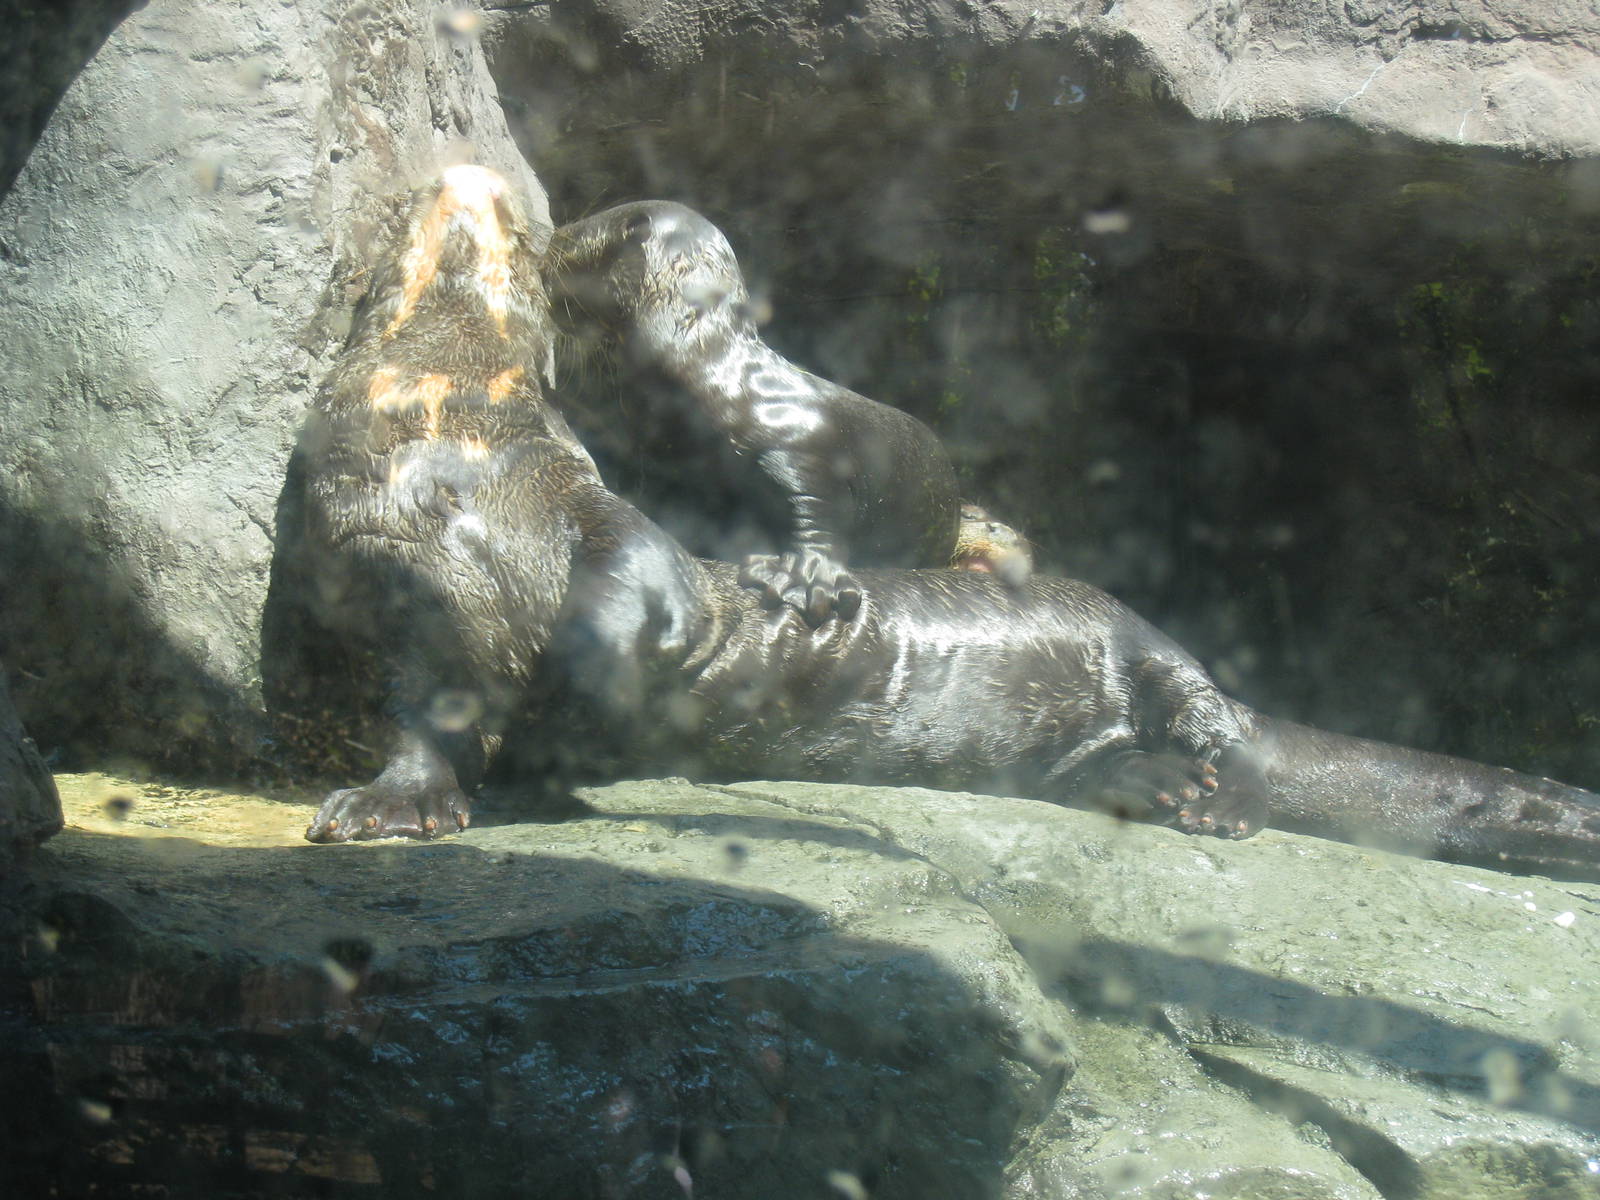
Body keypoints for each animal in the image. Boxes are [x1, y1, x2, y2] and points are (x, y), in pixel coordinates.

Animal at [295, 166, 1600, 883]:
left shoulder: (598, 511)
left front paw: (581, 693)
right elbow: (420, 708)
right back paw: (1160, 793)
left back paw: (1215, 797)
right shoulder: (387, 573)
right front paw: (396, 801)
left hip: (1142, 643)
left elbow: (632, 583)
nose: (486, 187)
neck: (453, 457)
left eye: (511, 240)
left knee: (1216, 722)